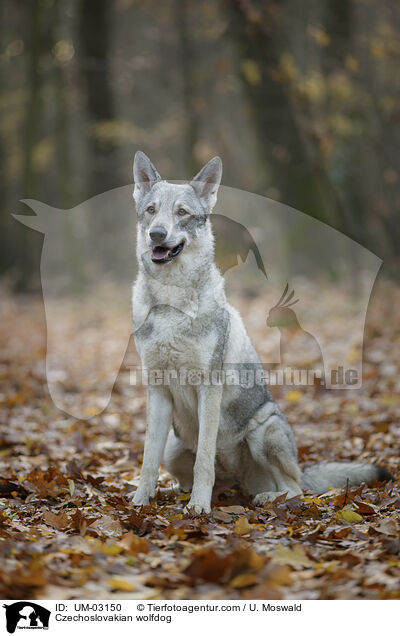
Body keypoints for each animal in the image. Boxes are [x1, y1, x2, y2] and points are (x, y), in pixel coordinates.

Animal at [130, 152, 390, 516]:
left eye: (182, 213)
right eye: (151, 210)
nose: (156, 234)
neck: (172, 303)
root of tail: (238, 480)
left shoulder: (209, 387)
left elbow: (204, 461)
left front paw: (199, 508)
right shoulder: (157, 391)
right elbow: (147, 459)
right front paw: (141, 501)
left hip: (264, 429)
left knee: (294, 489)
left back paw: (265, 497)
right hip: (175, 446)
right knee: (200, 478)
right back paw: (182, 493)